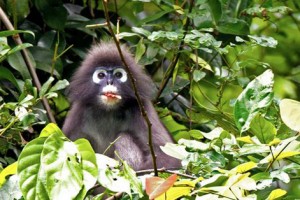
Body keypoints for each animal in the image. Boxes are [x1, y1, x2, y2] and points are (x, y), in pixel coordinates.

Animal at [62, 42, 180, 170]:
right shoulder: (79, 112)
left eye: (118, 75)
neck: (108, 110)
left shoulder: (141, 109)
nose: (110, 82)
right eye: (101, 75)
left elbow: (168, 157)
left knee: (123, 137)